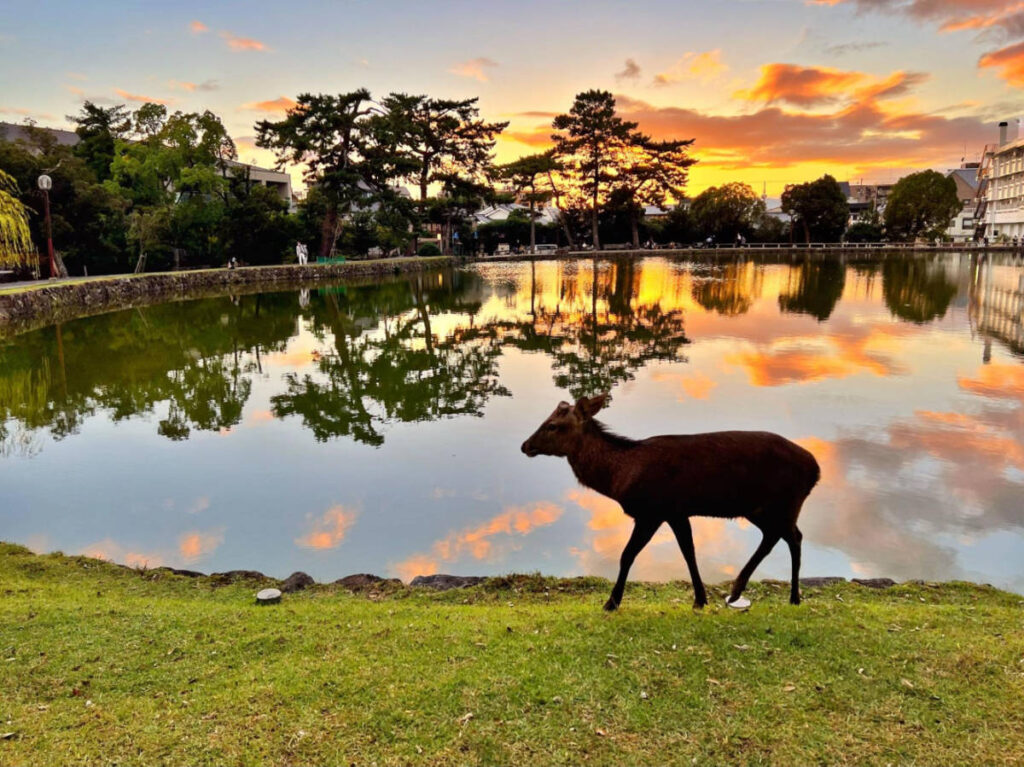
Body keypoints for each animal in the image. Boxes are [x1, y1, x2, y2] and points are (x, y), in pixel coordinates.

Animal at [521, 394, 820, 611]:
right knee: (782, 535)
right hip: (760, 508)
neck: (620, 478)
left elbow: (627, 554)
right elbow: (688, 551)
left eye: (552, 425)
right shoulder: (676, 512)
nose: (525, 445)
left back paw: (777, 594)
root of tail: (815, 469)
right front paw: (700, 599)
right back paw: (758, 593)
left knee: (789, 537)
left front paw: (611, 603)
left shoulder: (652, 510)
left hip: (785, 502)